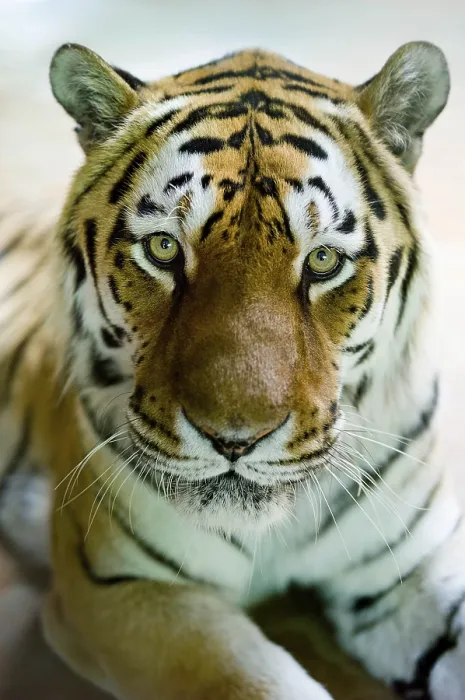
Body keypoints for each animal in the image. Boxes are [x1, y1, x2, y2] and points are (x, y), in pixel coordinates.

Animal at [0, 38, 463, 699]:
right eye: (164, 248)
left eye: (323, 261)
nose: (234, 440)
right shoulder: (120, 587)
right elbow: (254, 679)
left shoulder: (414, 568)